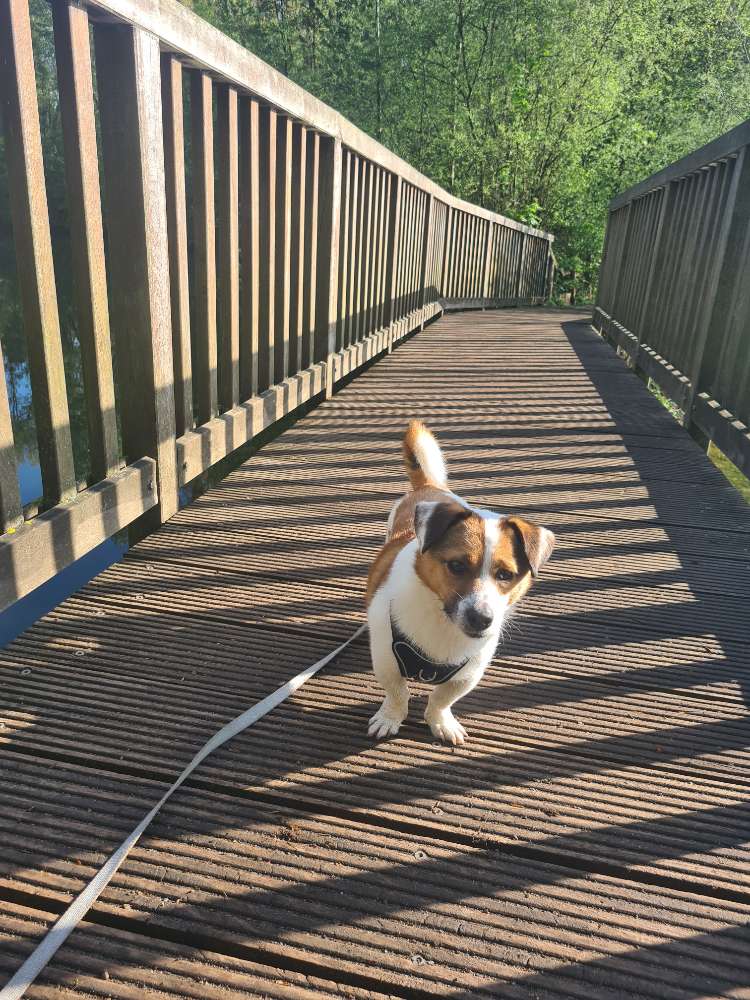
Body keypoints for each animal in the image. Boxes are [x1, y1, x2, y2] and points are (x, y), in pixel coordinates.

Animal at [368, 420, 556, 744]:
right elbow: (398, 693)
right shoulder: (386, 661)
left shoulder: (468, 673)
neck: (442, 620)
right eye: (456, 566)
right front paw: (390, 717)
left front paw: (441, 722)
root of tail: (429, 486)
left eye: (505, 575)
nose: (481, 619)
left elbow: (442, 698)